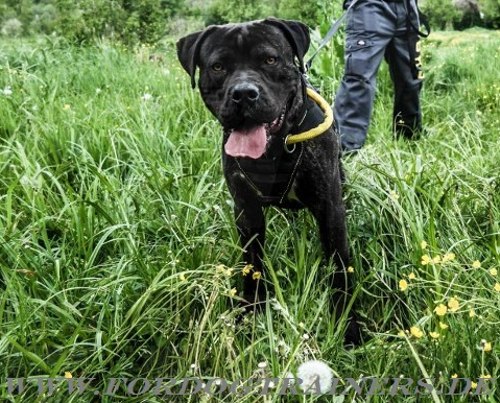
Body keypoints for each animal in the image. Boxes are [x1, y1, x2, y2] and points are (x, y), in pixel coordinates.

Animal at [176, 17, 360, 342]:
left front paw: (347, 325)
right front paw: (249, 313)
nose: (243, 93)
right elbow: (252, 265)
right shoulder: (246, 212)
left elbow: (340, 267)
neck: (275, 150)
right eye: (218, 66)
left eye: (270, 59)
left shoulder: (330, 209)